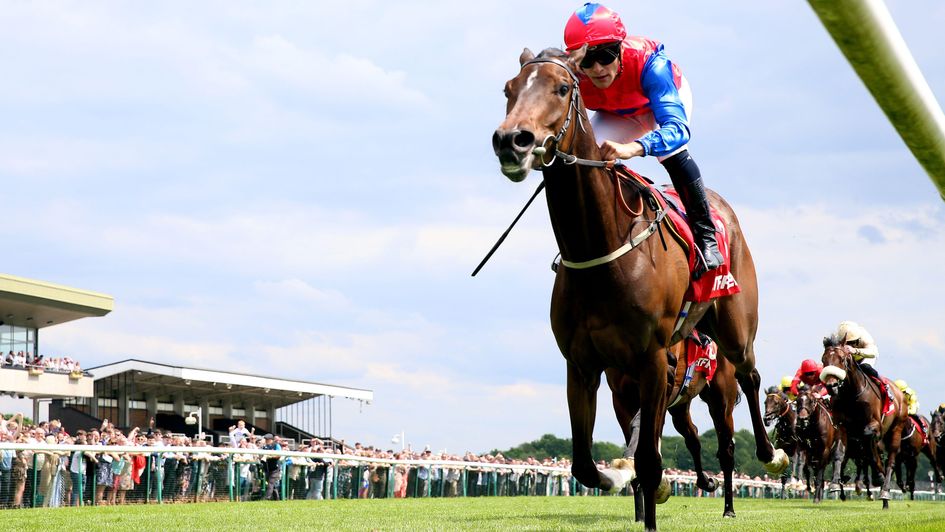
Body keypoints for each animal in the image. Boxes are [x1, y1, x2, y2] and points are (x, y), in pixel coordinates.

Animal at [490, 47, 784, 528]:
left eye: (563, 87)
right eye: (508, 90)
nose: (512, 140)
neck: (600, 251)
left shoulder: (652, 361)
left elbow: (649, 459)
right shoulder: (585, 367)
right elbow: (586, 463)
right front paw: (618, 476)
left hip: (733, 336)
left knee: (747, 385)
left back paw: (764, 460)